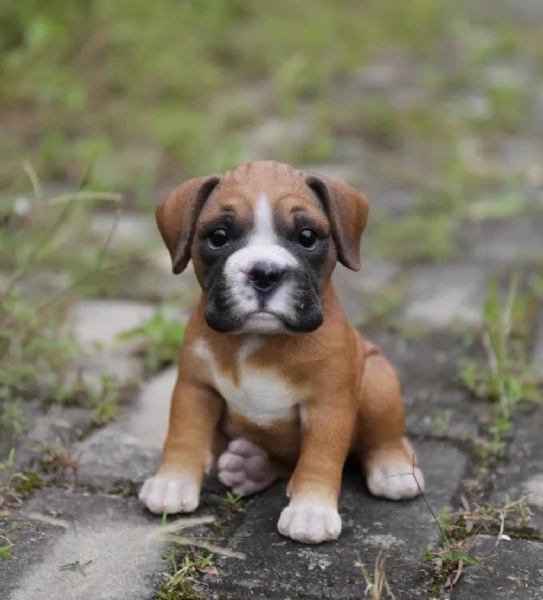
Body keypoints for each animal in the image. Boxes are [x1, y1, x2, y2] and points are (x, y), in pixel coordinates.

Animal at [139, 159, 424, 544]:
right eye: (218, 237)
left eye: (307, 237)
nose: (264, 272)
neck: (258, 339)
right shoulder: (195, 389)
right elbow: (184, 434)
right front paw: (172, 481)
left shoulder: (329, 406)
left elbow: (321, 455)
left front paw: (311, 510)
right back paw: (251, 467)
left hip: (379, 378)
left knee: (383, 438)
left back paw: (393, 468)